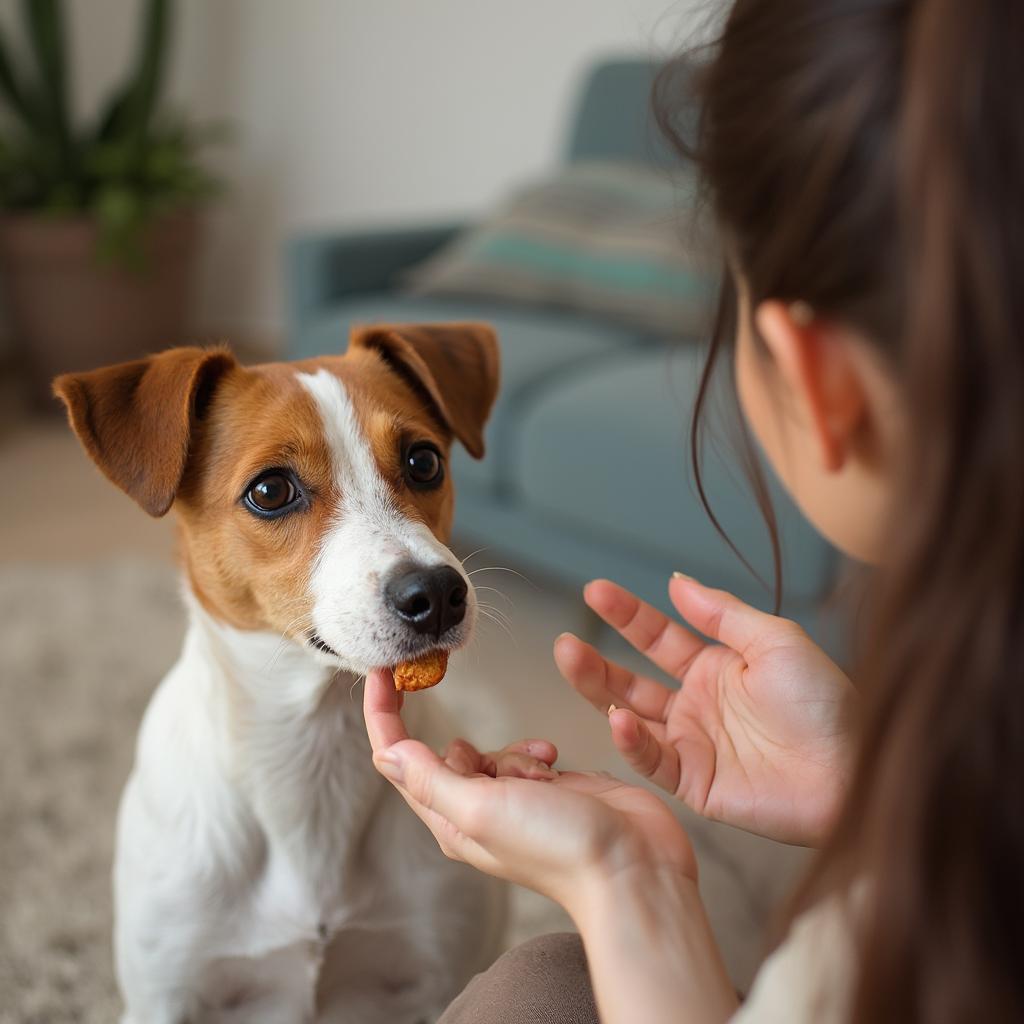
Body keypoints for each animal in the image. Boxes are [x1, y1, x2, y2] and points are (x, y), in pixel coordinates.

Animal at [51, 323, 507, 1024]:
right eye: (270, 491)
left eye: (424, 461)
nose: (437, 594)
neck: (312, 748)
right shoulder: (164, 996)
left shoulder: (439, 981)